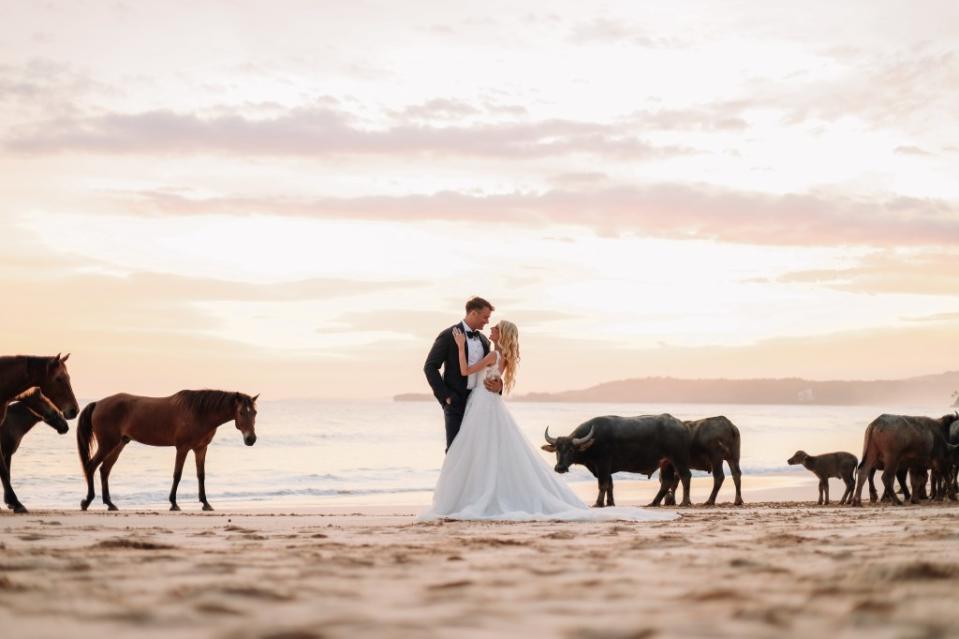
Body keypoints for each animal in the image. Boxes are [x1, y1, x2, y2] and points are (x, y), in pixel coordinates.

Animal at [0, 384, 70, 516]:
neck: (12, 421)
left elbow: (7, 477)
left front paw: (11, 503)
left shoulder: (7, 454)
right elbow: (6, 475)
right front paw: (15, 504)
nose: (65, 427)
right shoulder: (5, 453)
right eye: (55, 410)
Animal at [78, 388, 258, 512]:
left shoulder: (200, 449)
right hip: (107, 444)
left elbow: (201, 475)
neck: (199, 413)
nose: (251, 439)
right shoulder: (182, 448)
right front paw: (173, 503)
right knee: (91, 466)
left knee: (104, 470)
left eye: (255, 412)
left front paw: (206, 503)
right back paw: (87, 501)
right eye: (241, 412)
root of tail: (98, 403)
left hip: (119, 444)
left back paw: (110, 503)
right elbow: (177, 475)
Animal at [540, 416, 688, 510]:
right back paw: (653, 503)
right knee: (667, 482)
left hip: (678, 459)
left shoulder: (603, 465)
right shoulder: (606, 469)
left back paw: (685, 502)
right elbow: (610, 485)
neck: (593, 442)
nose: (560, 467)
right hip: (666, 463)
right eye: (557, 450)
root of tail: (681, 425)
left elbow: (602, 485)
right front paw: (610, 503)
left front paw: (598, 503)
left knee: (685, 476)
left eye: (571, 450)